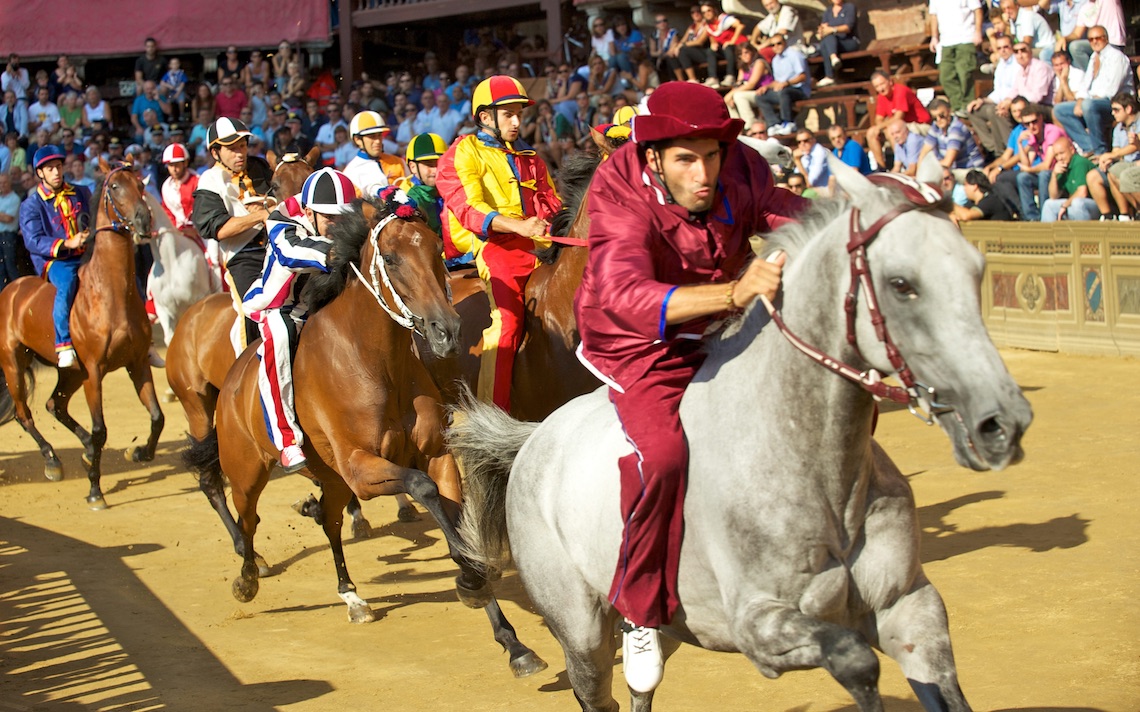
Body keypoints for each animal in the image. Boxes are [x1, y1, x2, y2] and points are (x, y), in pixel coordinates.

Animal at [0, 164, 163, 508]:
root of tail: (12, 289)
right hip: (14, 365)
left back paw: (86, 450)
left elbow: (157, 417)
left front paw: (138, 452)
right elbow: (101, 429)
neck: (110, 294)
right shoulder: (94, 371)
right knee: (25, 414)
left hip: (70, 372)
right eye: (114, 187)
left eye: (141, 184)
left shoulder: (137, 364)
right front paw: (95, 490)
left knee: (55, 405)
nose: (143, 220)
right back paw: (52, 460)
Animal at [185, 195, 547, 678]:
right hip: (247, 470)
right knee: (248, 519)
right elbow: (421, 487)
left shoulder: (433, 456)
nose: (446, 330)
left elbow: (451, 516)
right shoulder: (361, 466)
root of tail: (231, 381)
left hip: (331, 477)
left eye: (437, 250)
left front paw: (511, 639)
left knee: (329, 519)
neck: (375, 361)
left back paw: (351, 594)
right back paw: (247, 577)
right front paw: (471, 580)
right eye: (390, 258)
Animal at [449, 157, 1039, 710]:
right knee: (597, 690)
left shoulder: (910, 605)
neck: (815, 468)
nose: (1000, 423)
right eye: (901, 284)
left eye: (976, 270)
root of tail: (533, 439)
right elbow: (856, 661)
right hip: (579, 627)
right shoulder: (757, 625)